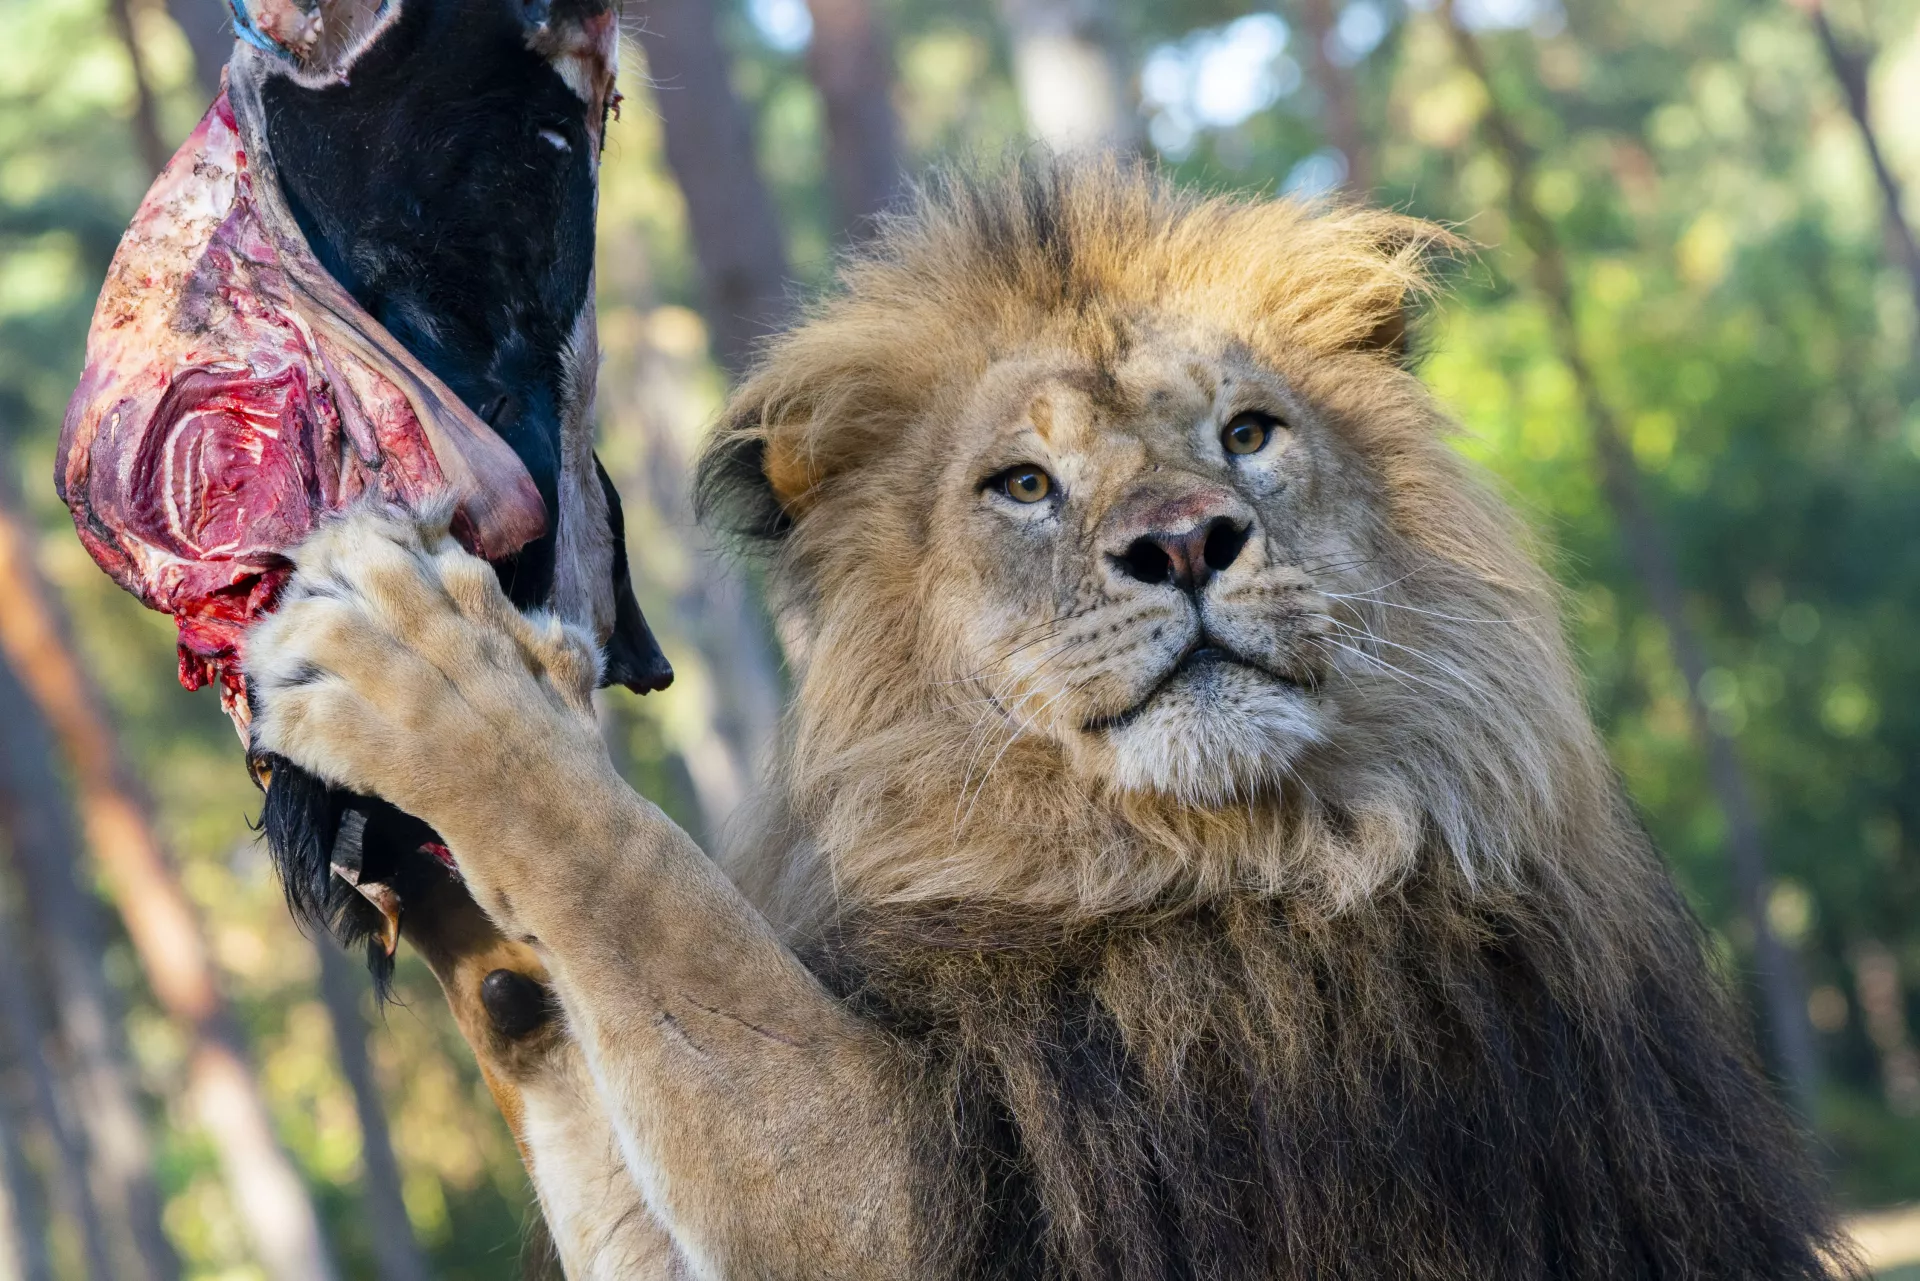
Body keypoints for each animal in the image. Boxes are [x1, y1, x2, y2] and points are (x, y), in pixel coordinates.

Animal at [244, 162, 1851, 1279]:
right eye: (1023, 485)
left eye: (1247, 434)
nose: (1188, 541)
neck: (1178, 863)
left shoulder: (944, 1200)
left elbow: (647, 898)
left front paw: (425, 672)